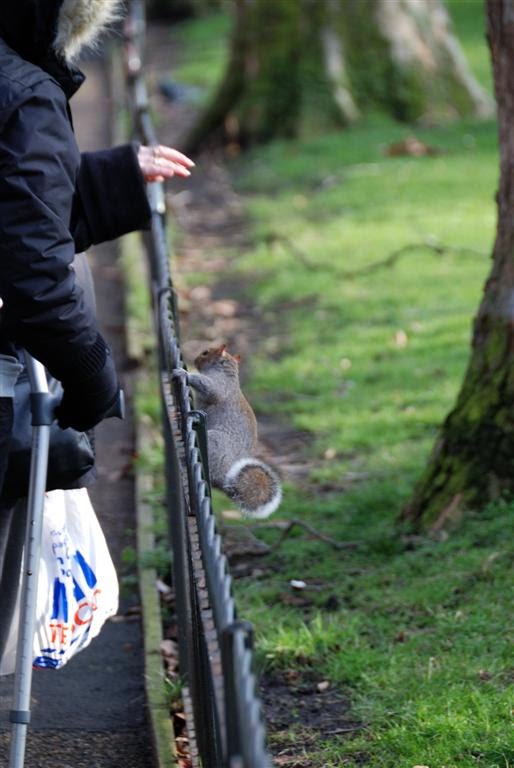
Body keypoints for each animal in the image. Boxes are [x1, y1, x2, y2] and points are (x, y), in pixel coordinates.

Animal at [184, 344, 280, 520]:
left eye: (205, 353)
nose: (195, 360)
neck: (227, 372)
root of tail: (224, 478)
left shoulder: (220, 385)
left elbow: (209, 387)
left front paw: (183, 373)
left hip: (214, 441)